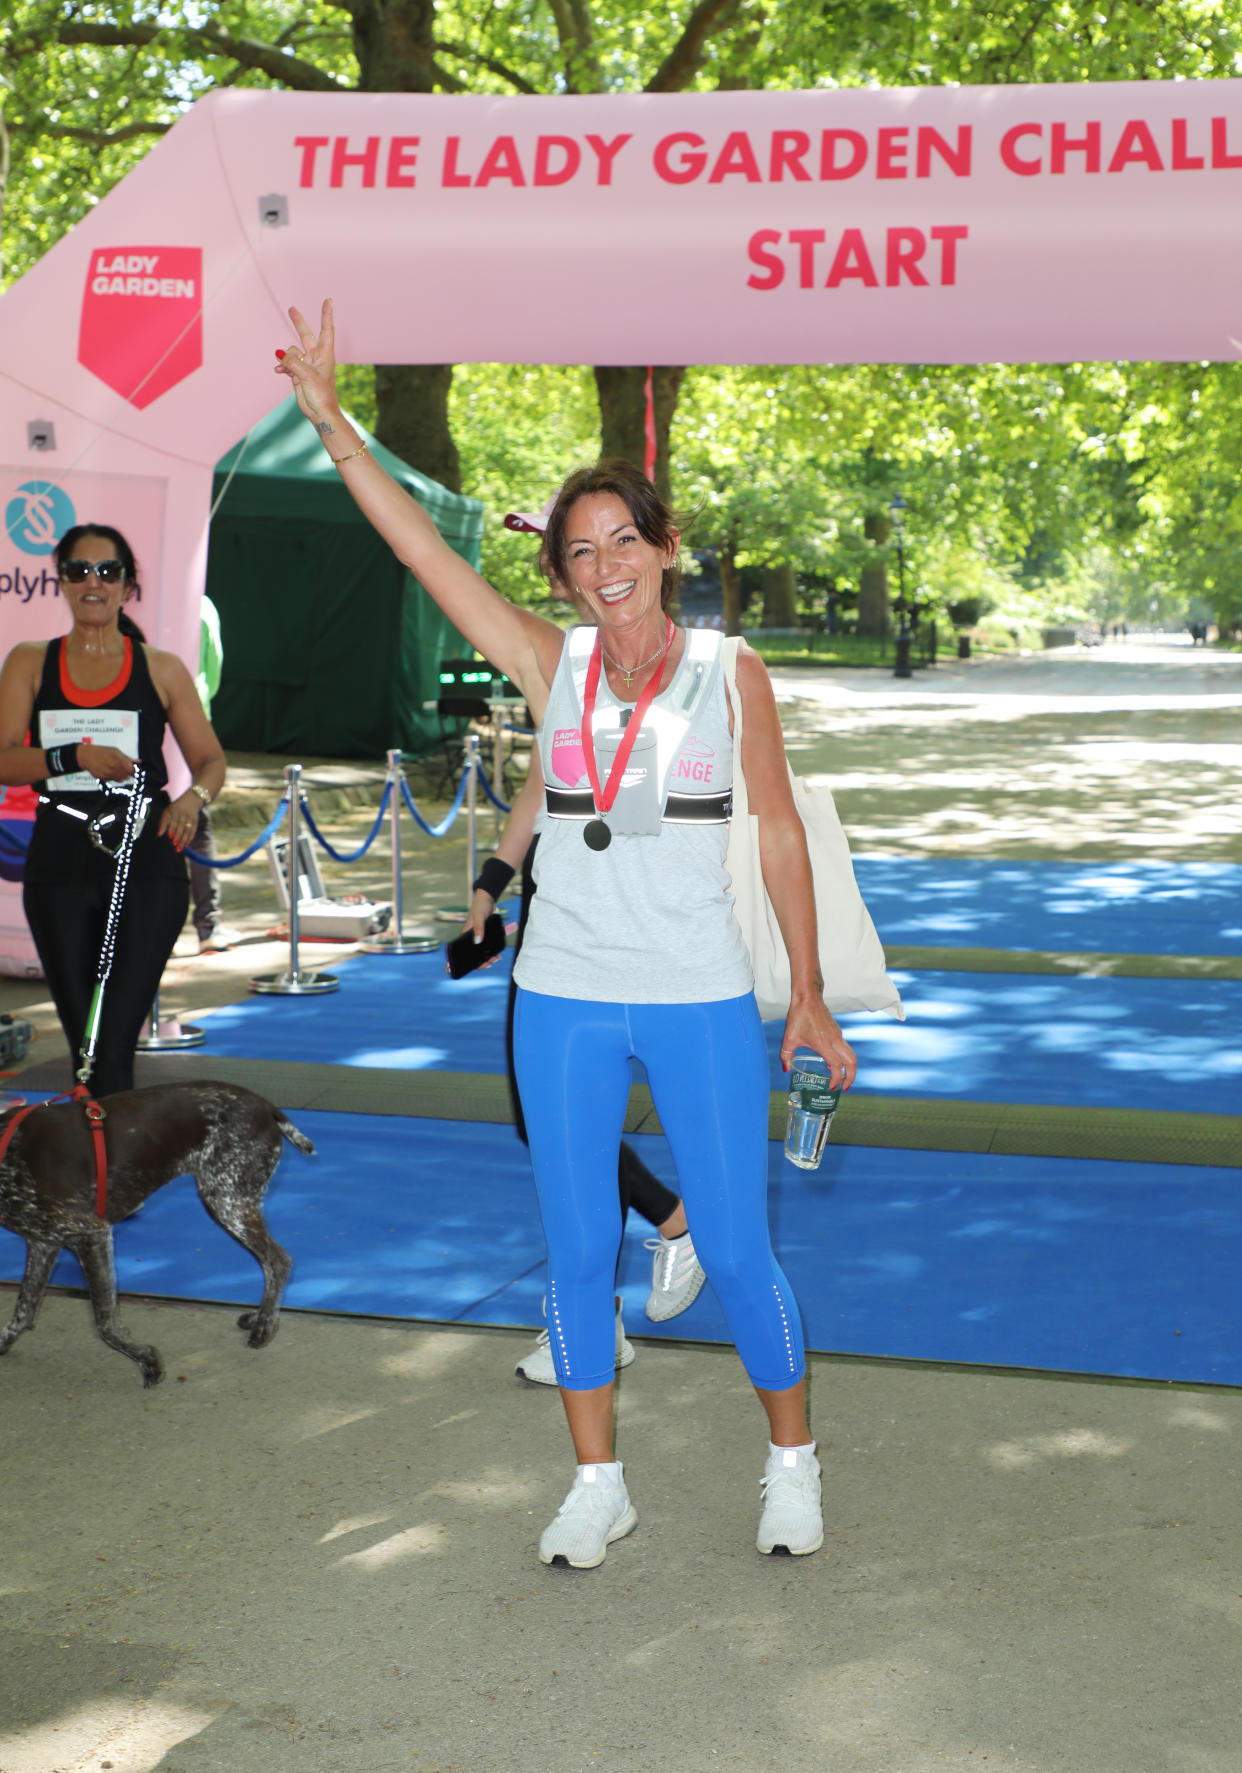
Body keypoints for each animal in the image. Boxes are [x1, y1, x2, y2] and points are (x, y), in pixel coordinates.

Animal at [0, 1077, 310, 1382]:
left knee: (278, 1261)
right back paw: (259, 1317)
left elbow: (104, 1322)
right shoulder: (44, 1243)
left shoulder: (91, 1234)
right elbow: (23, 1309)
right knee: (270, 1264)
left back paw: (265, 1326)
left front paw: (147, 1359)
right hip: (230, 1203)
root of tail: (266, 1106)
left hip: (228, 1203)